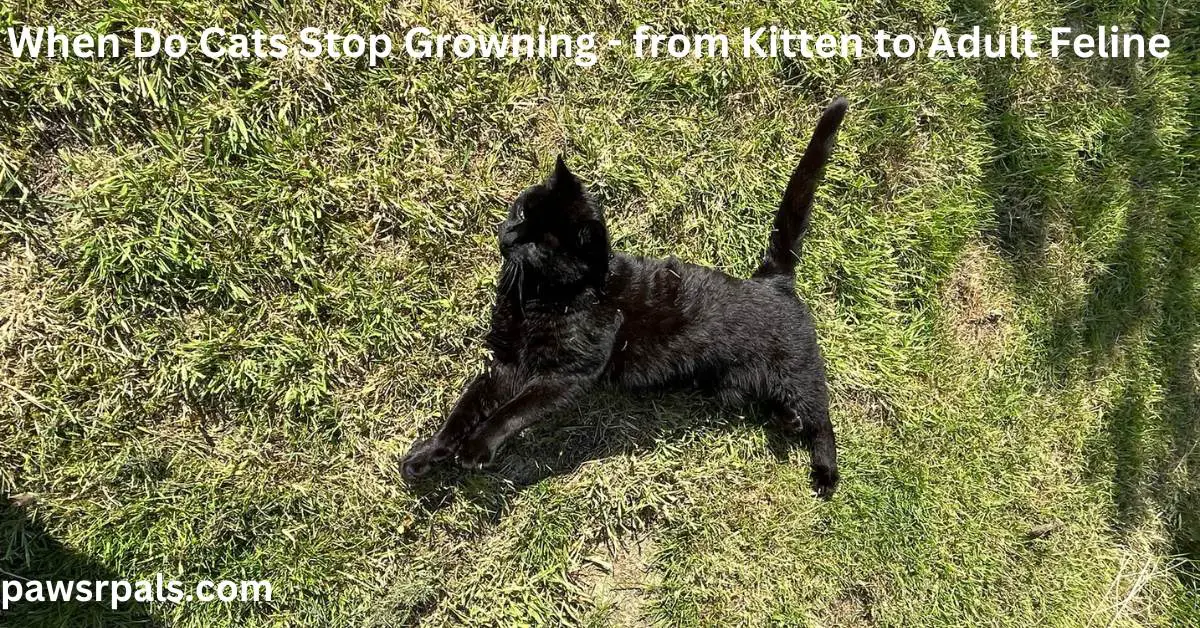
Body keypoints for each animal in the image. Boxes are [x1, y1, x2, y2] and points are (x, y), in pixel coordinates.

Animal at [400, 97, 844, 497]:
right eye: (523, 213)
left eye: (542, 245)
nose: (508, 236)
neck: (540, 295)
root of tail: (771, 280)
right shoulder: (505, 361)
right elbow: (463, 409)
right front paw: (429, 453)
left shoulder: (565, 375)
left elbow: (512, 412)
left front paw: (477, 446)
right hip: (739, 382)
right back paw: (788, 422)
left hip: (798, 372)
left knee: (822, 419)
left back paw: (825, 473)